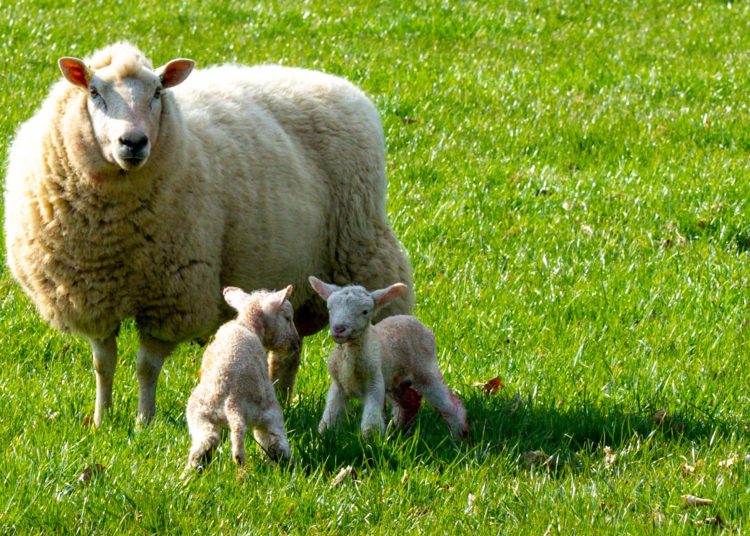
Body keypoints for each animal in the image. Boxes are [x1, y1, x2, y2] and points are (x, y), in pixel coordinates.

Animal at [3, 42, 414, 427]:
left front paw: (143, 422)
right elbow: (103, 364)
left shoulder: (171, 298)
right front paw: (103, 419)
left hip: (363, 249)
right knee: (289, 349)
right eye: (94, 91)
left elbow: (146, 367)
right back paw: (279, 397)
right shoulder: (92, 297)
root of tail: (338, 84)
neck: (114, 234)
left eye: (157, 92)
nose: (133, 142)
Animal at [186, 286, 297, 470]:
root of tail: (234, 402)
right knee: (274, 442)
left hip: (199, 412)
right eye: (288, 318)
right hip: (268, 412)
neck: (246, 324)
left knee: (207, 440)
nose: (296, 344)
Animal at [308, 276, 467, 439]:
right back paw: (401, 430)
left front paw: (371, 442)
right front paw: (324, 436)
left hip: (425, 370)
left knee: (449, 404)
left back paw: (459, 435)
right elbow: (329, 417)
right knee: (410, 401)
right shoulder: (338, 386)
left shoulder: (374, 382)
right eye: (329, 308)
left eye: (365, 312)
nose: (338, 329)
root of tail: (412, 319)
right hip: (395, 380)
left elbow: (371, 423)